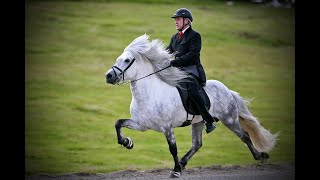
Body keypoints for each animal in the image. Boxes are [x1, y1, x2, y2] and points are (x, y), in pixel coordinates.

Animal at [104, 34, 278, 179]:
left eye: (127, 60)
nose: (109, 76)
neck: (150, 94)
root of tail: (227, 90)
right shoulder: (141, 124)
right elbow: (118, 123)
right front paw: (127, 142)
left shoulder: (167, 127)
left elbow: (172, 148)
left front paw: (175, 171)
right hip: (199, 122)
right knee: (197, 144)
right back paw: (183, 162)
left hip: (229, 119)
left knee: (245, 136)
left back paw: (260, 156)